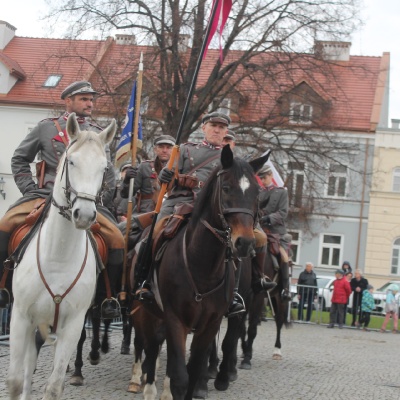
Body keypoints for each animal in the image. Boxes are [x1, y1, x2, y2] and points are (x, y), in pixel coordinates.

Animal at [7, 113, 115, 400]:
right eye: (72, 161)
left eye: (104, 167)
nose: (85, 215)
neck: (58, 256)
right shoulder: (20, 317)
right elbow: (16, 381)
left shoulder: (73, 325)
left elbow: (54, 385)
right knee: (27, 370)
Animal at [142, 146, 268, 400]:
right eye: (226, 188)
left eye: (257, 193)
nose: (245, 243)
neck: (202, 264)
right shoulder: (175, 319)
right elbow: (180, 376)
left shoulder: (213, 320)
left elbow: (196, 368)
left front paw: (204, 383)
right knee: (152, 344)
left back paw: (223, 375)